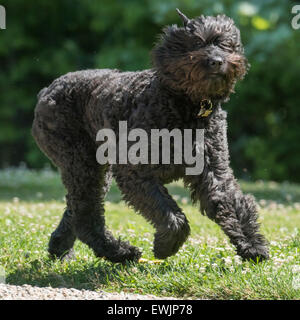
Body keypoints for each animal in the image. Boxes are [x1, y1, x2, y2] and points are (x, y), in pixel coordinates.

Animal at [32, 9, 270, 262]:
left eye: (224, 43)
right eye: (196, 43)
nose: (216, 60)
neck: (183, 106)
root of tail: (46, 92)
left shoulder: (214, 172)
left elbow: (233, 207)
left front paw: (253, 246)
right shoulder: (135, 173)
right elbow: (172, 216)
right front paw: (165, 246)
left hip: (92, 172)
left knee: (75, 211)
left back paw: (62, 249)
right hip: (82, 166)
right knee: (87, 217)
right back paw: (120, 252)